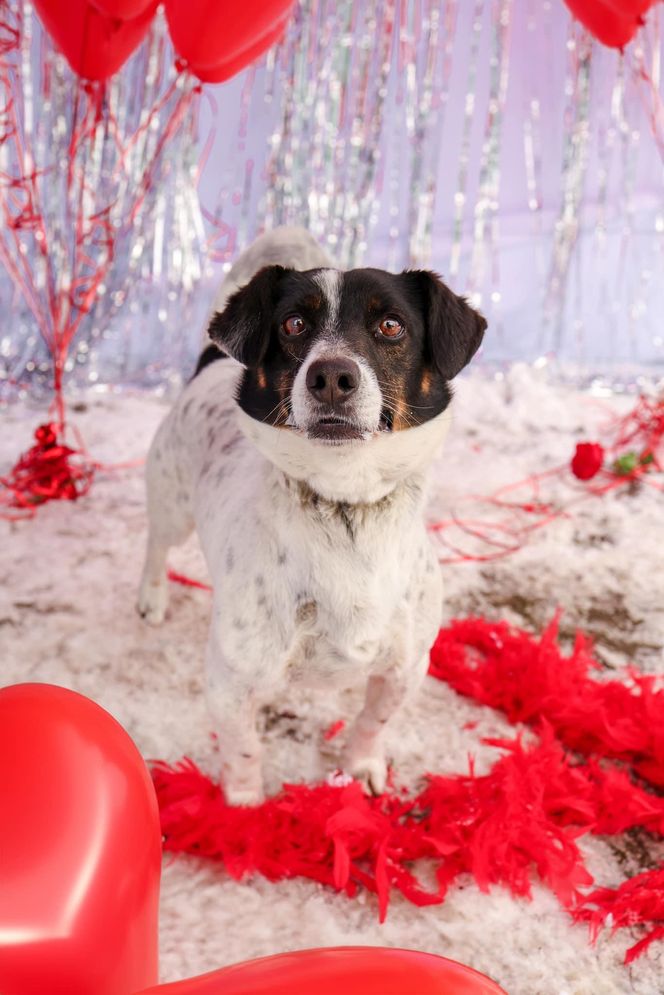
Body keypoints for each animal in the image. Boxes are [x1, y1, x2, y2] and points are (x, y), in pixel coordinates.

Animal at [137, 230, 486, 804]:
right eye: (294, 324)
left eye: (392, 325)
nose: (332, 376)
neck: (343, 506)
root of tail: (213, 362)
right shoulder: (230, 680)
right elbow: (243, 748)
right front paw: (244, 804)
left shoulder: (406, 667)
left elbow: (372, 723)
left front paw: (359, 767)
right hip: (171, 499)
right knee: (156, 544)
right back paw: (151, 597)